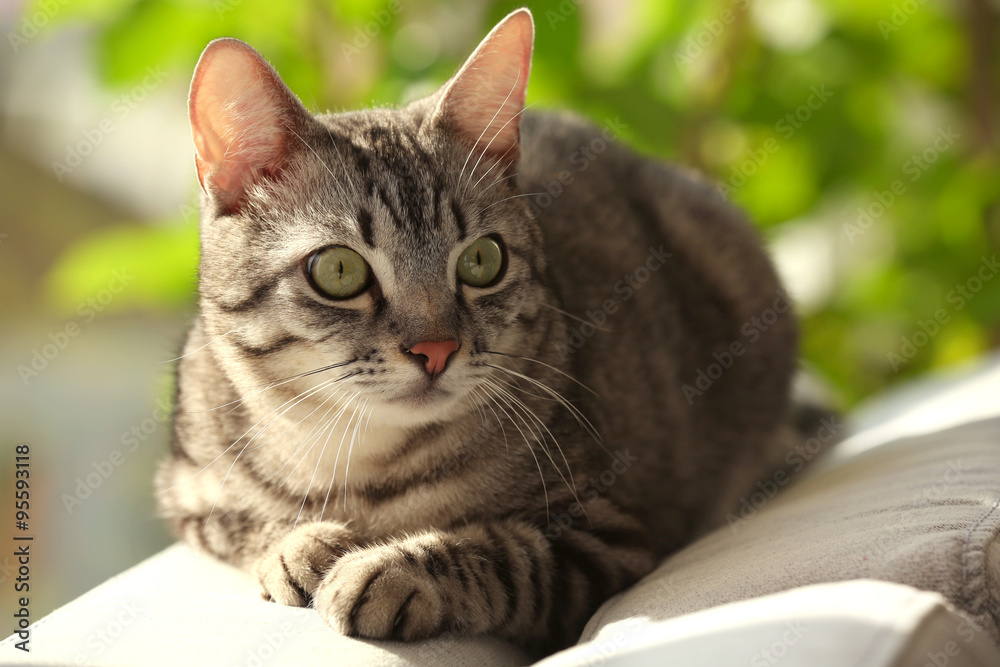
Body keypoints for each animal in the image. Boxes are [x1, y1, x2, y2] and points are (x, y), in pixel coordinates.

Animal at [154, 6, 812, 656]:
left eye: (481, 261)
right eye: (338, 270)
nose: (436, 348)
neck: (364, 469)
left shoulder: (604, 533)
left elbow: (503, 554)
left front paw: (390, 570)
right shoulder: (189, 491)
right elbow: (248, 523)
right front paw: (303, 545)